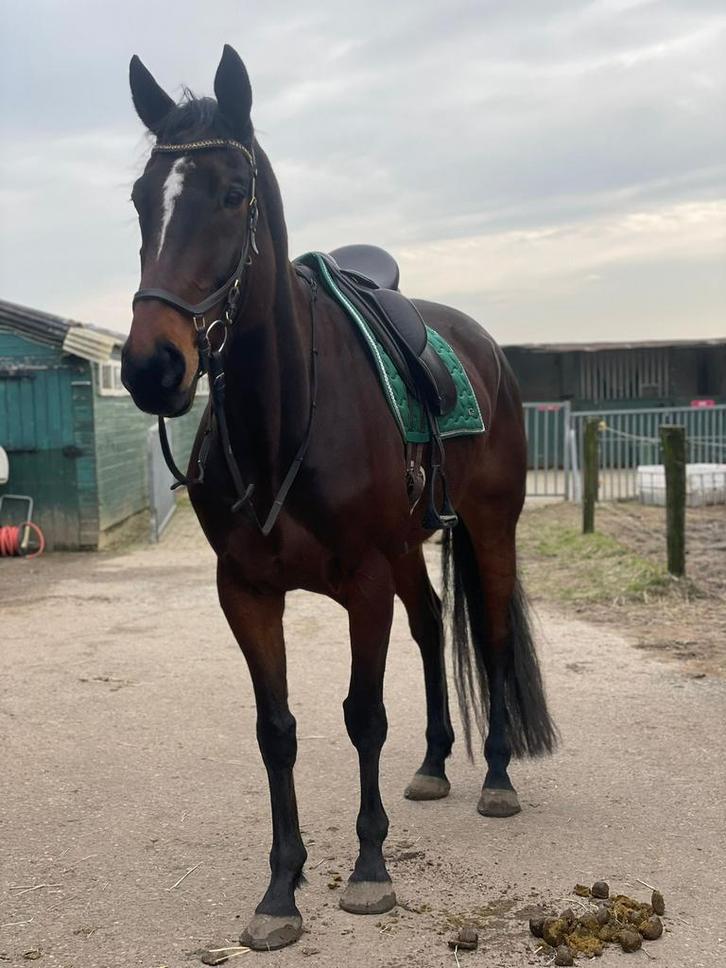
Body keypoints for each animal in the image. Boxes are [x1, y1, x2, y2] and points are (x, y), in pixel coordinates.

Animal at [121, 45, 556, 952]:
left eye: (233, 193)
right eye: (143, 199)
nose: (152, 367)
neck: (283, 419)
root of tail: (486, 349)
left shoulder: (363, 582)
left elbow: (362, 715)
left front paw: (368, 869)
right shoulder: (247, 591)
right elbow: (277, 730)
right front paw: (281, 889)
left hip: (488, 530)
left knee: (492, 634)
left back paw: (497, 775)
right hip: (410, 551)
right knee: (434, 625)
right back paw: (433, 763)